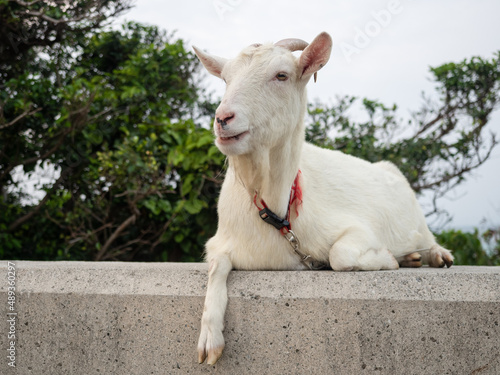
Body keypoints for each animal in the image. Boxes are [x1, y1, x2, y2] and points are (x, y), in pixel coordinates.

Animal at [191, 30, 454, 366]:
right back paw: (412, 257)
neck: (277, 210)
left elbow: (340, 255)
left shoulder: (358, 229)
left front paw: (388, 259)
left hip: (417, 221)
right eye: (225, 78)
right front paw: (209, 337)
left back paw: (434, 255)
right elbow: (216, 267)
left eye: (281, 75)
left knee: (427, 239)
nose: (223, 119)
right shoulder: (221, 242)